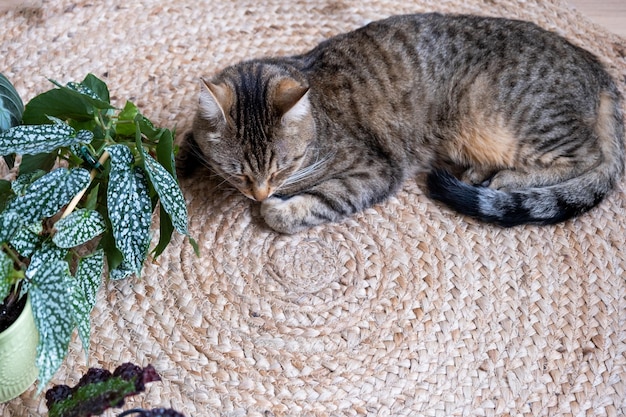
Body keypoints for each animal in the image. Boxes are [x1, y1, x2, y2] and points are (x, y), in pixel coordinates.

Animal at [178, 13, 620, 232]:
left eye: (282, 167)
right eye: (237, 171)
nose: (258, 194)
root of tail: (595, 67)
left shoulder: (372, 169)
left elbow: (318, 202)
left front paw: (277, 209)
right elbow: (187, 138)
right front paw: (178, 160)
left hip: (513, 118)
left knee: (588, 159)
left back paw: (505, 178)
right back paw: (481, 172)